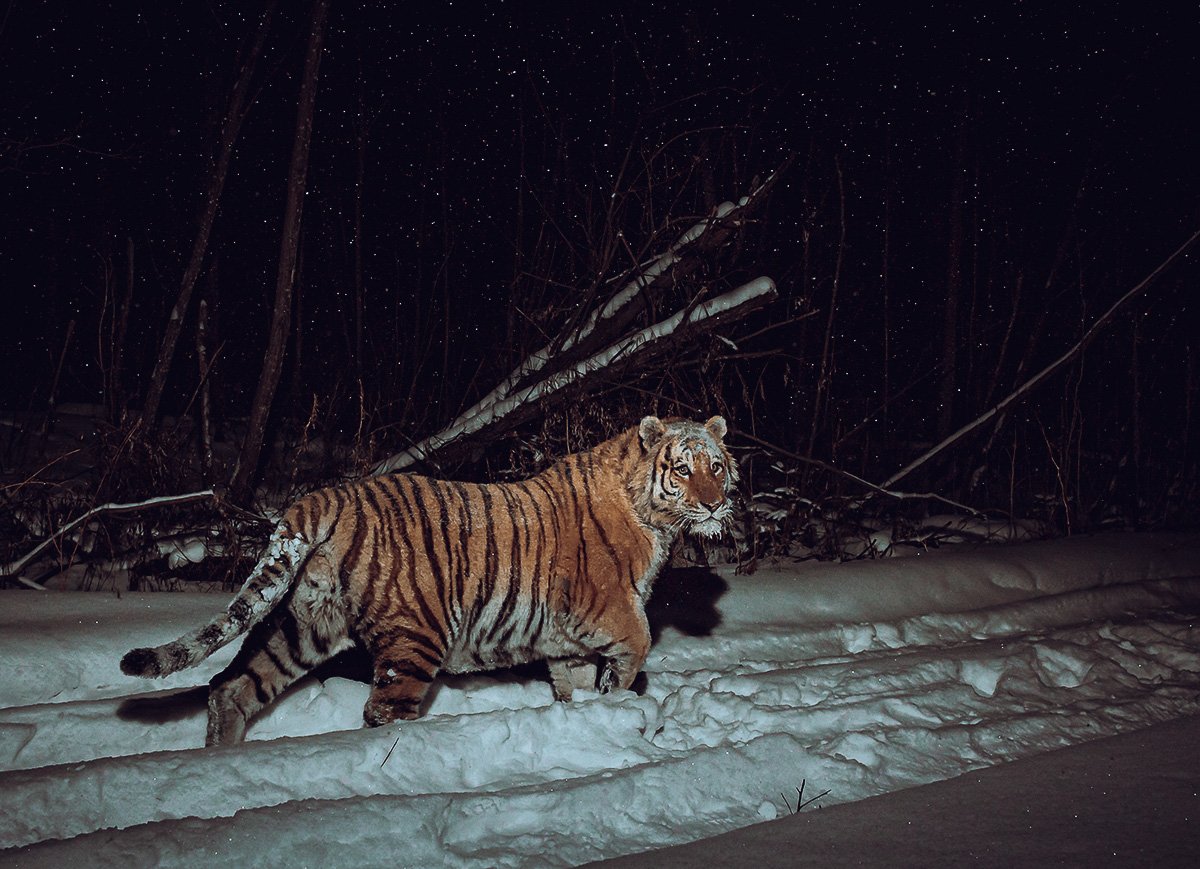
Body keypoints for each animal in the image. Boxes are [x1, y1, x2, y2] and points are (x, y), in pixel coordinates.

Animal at [124, 417, 739, 744]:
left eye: (717, 467)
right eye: (682, 468)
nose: (716, 504)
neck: (655, 521)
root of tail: (324, 497)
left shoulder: (569, 641)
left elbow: (575, 682)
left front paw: (588, 712)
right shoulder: (606, 608)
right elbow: (640, 640)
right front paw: (618, 700)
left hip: (304, 626)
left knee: (230, 687)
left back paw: (221, 757)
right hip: (416, 635)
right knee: (382, 712)